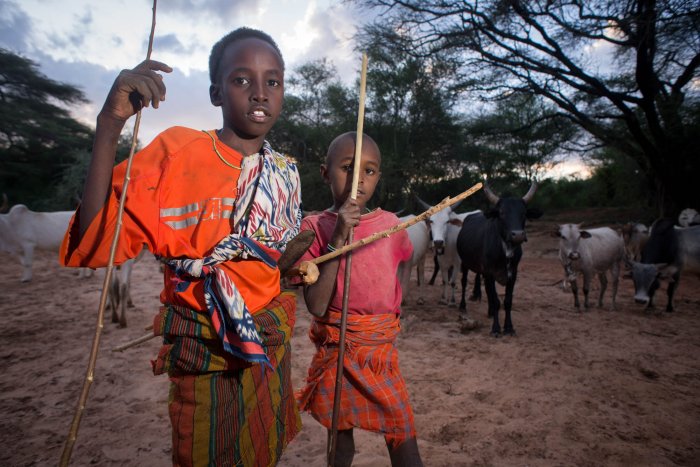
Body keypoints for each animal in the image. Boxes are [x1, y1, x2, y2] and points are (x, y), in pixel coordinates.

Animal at [456, 181, 544, 338]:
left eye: (524, 213)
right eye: (502, 213)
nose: (518, 235)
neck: (505, 249)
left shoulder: (513, 274)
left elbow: (507, 301)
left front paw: (509, 327)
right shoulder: (490, 272)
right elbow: (497, 301)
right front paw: (496, 328)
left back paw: (490, 312)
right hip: (465, 264)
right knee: (464, 282)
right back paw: (462, 306)